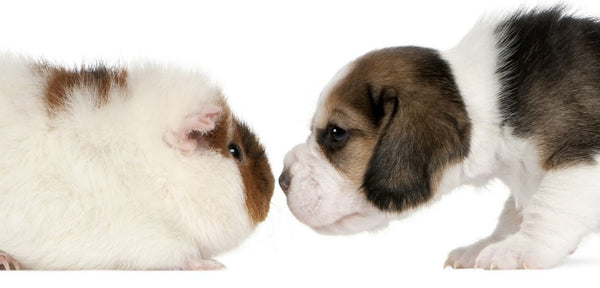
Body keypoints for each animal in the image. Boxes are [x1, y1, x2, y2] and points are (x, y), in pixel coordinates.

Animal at [278, 9, 600, 270]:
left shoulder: (580, 158)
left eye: (337, 133)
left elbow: (547, 203)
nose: (282, 180)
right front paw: (488, 244)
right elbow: (515, 209)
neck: (487, 101)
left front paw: (521, 247)